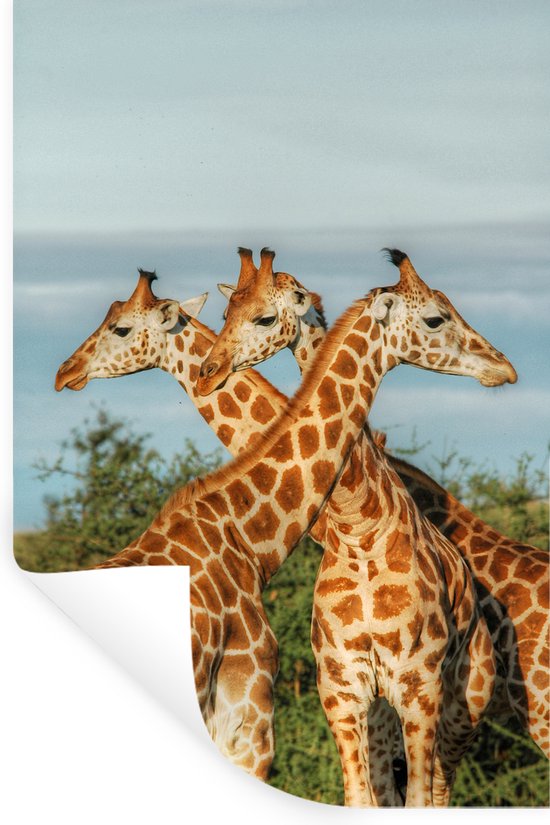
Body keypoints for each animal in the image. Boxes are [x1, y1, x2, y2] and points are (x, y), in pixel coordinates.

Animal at [197, 248, 520, 806]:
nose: (504, 367)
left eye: (264, 317)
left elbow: (418, 801)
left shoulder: (418, 685)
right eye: (226, 314)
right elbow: (358, 797)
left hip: (462, 706)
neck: (359, 526)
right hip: (384, 714)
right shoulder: (341, 689)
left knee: (438, 791)